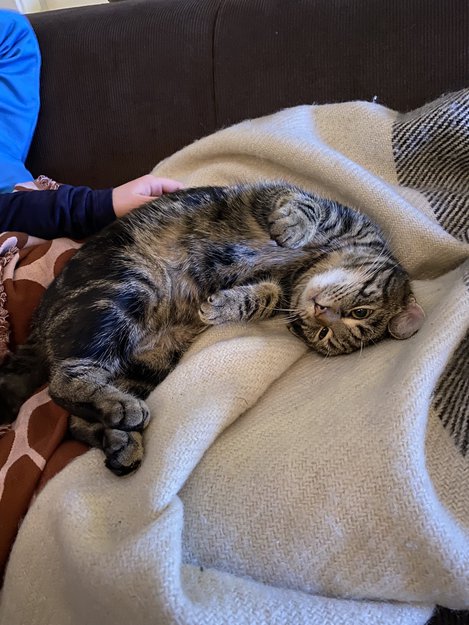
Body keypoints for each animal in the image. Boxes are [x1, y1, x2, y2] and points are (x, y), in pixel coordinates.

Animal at [0, 182, 424, 475]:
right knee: (63, 381)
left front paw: (224, 305)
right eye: (360, 311)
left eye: (326, 335)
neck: (307, 268)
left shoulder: (280, 290)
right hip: (126, 286)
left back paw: (118, 437)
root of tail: (39, 326)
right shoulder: (294, 199)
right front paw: (293, 228)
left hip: (149, 359)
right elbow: (304, 206)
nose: (322, 314)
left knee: (73, 412)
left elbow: (261, 297)